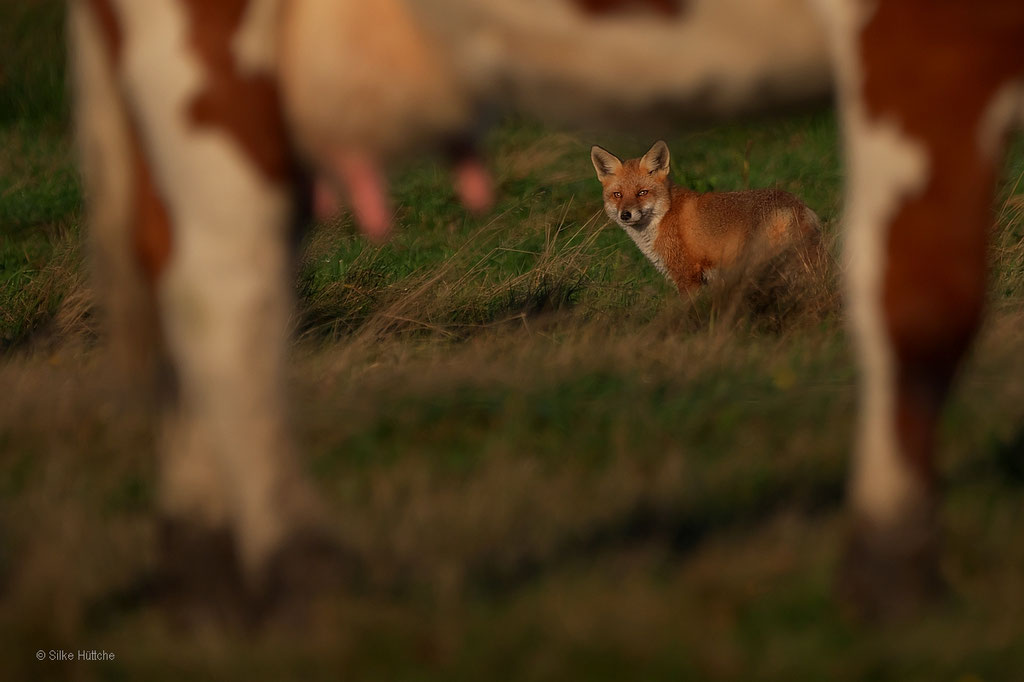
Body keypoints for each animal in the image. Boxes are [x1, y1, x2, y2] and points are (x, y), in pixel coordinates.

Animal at [591, 140, 822, 293]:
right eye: (618, 195)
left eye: (642, 193)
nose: (626, 214)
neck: (665, 216)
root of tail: (798, 206)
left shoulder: (687, 276)